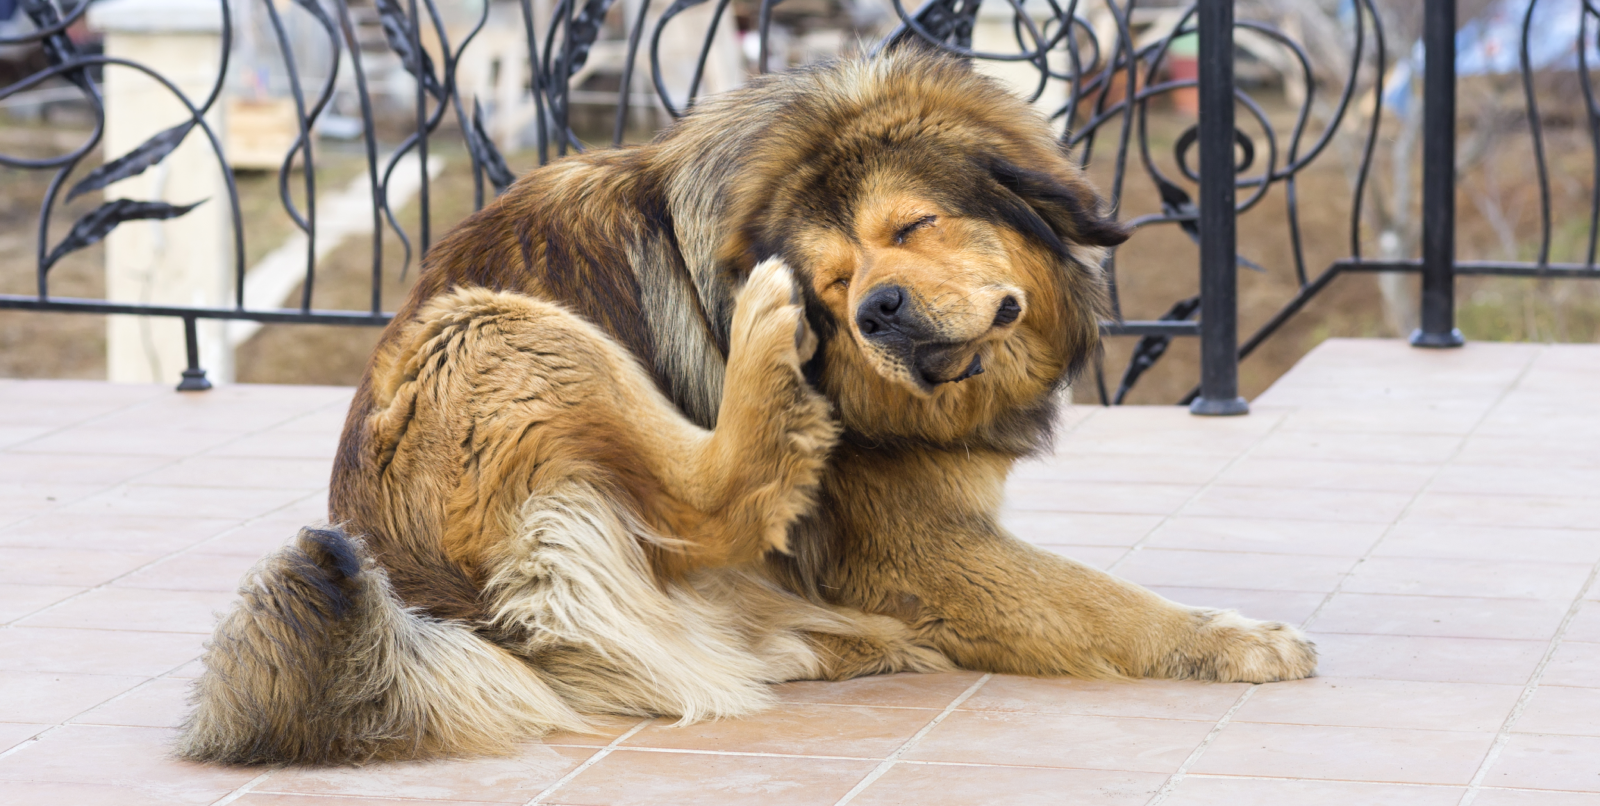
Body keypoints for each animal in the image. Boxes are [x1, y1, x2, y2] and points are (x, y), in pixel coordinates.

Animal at [181, 50, 1318, 767]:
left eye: (913, 225)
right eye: (833, 280)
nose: (873, 310)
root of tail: (421, 602)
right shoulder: (916, 543)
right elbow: (1102, 601)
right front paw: (1235, 640)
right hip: (493, 326)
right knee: (711, 502)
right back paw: (766, 364)